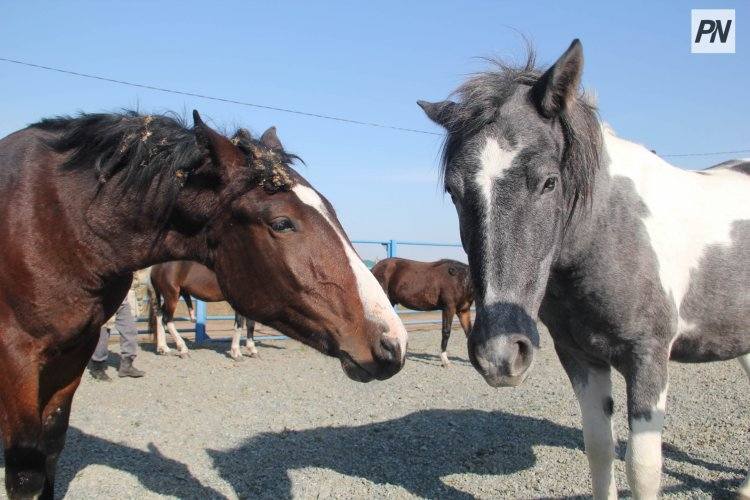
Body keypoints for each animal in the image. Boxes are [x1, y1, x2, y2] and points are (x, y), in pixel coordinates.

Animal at [0, 110, 407, 499]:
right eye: (281, 223)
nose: (393, 343)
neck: (59, 221)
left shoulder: (73, 352)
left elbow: (51, 450)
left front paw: (246, 349)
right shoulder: (17, 358)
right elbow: (26, 473)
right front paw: (241, 351)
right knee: (164, 318)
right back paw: (173, 348)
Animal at [419, 39, 750, 499]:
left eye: (549, 182)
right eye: (453, 190)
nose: (500, 355)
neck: (612, 232)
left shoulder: (648, 358)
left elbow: (642, 468)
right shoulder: (580, 357)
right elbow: (598, 449)